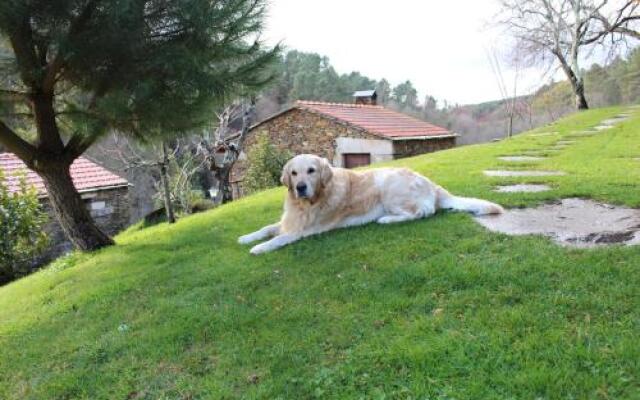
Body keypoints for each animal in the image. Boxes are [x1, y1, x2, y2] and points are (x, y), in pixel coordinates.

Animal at [238, 153, 502, 253]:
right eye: (294, 173)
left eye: (311, 171)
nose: (301, 187)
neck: (307, 204)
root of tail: (431, 183)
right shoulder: (290, 220)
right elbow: (267, 228)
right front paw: (247, 237)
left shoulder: (305, 230)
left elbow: (279, 238)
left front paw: (260, 247)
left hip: (388, 187)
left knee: (422, 212)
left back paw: (385, 219)